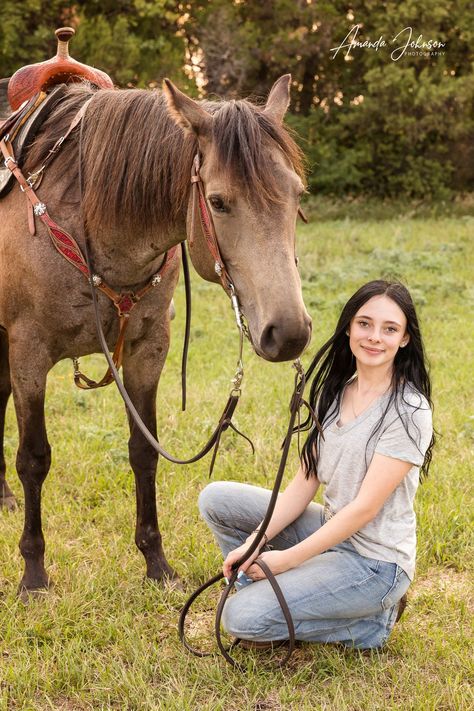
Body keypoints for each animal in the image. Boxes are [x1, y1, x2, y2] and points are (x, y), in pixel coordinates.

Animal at [0, 75, 312, 592]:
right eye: (217, 201)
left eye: (297, 194)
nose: (287, 332)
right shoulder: (28, 353)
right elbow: (34, 458)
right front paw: (34, 573)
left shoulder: (148, 351)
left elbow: (144, 451)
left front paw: (156, 562)